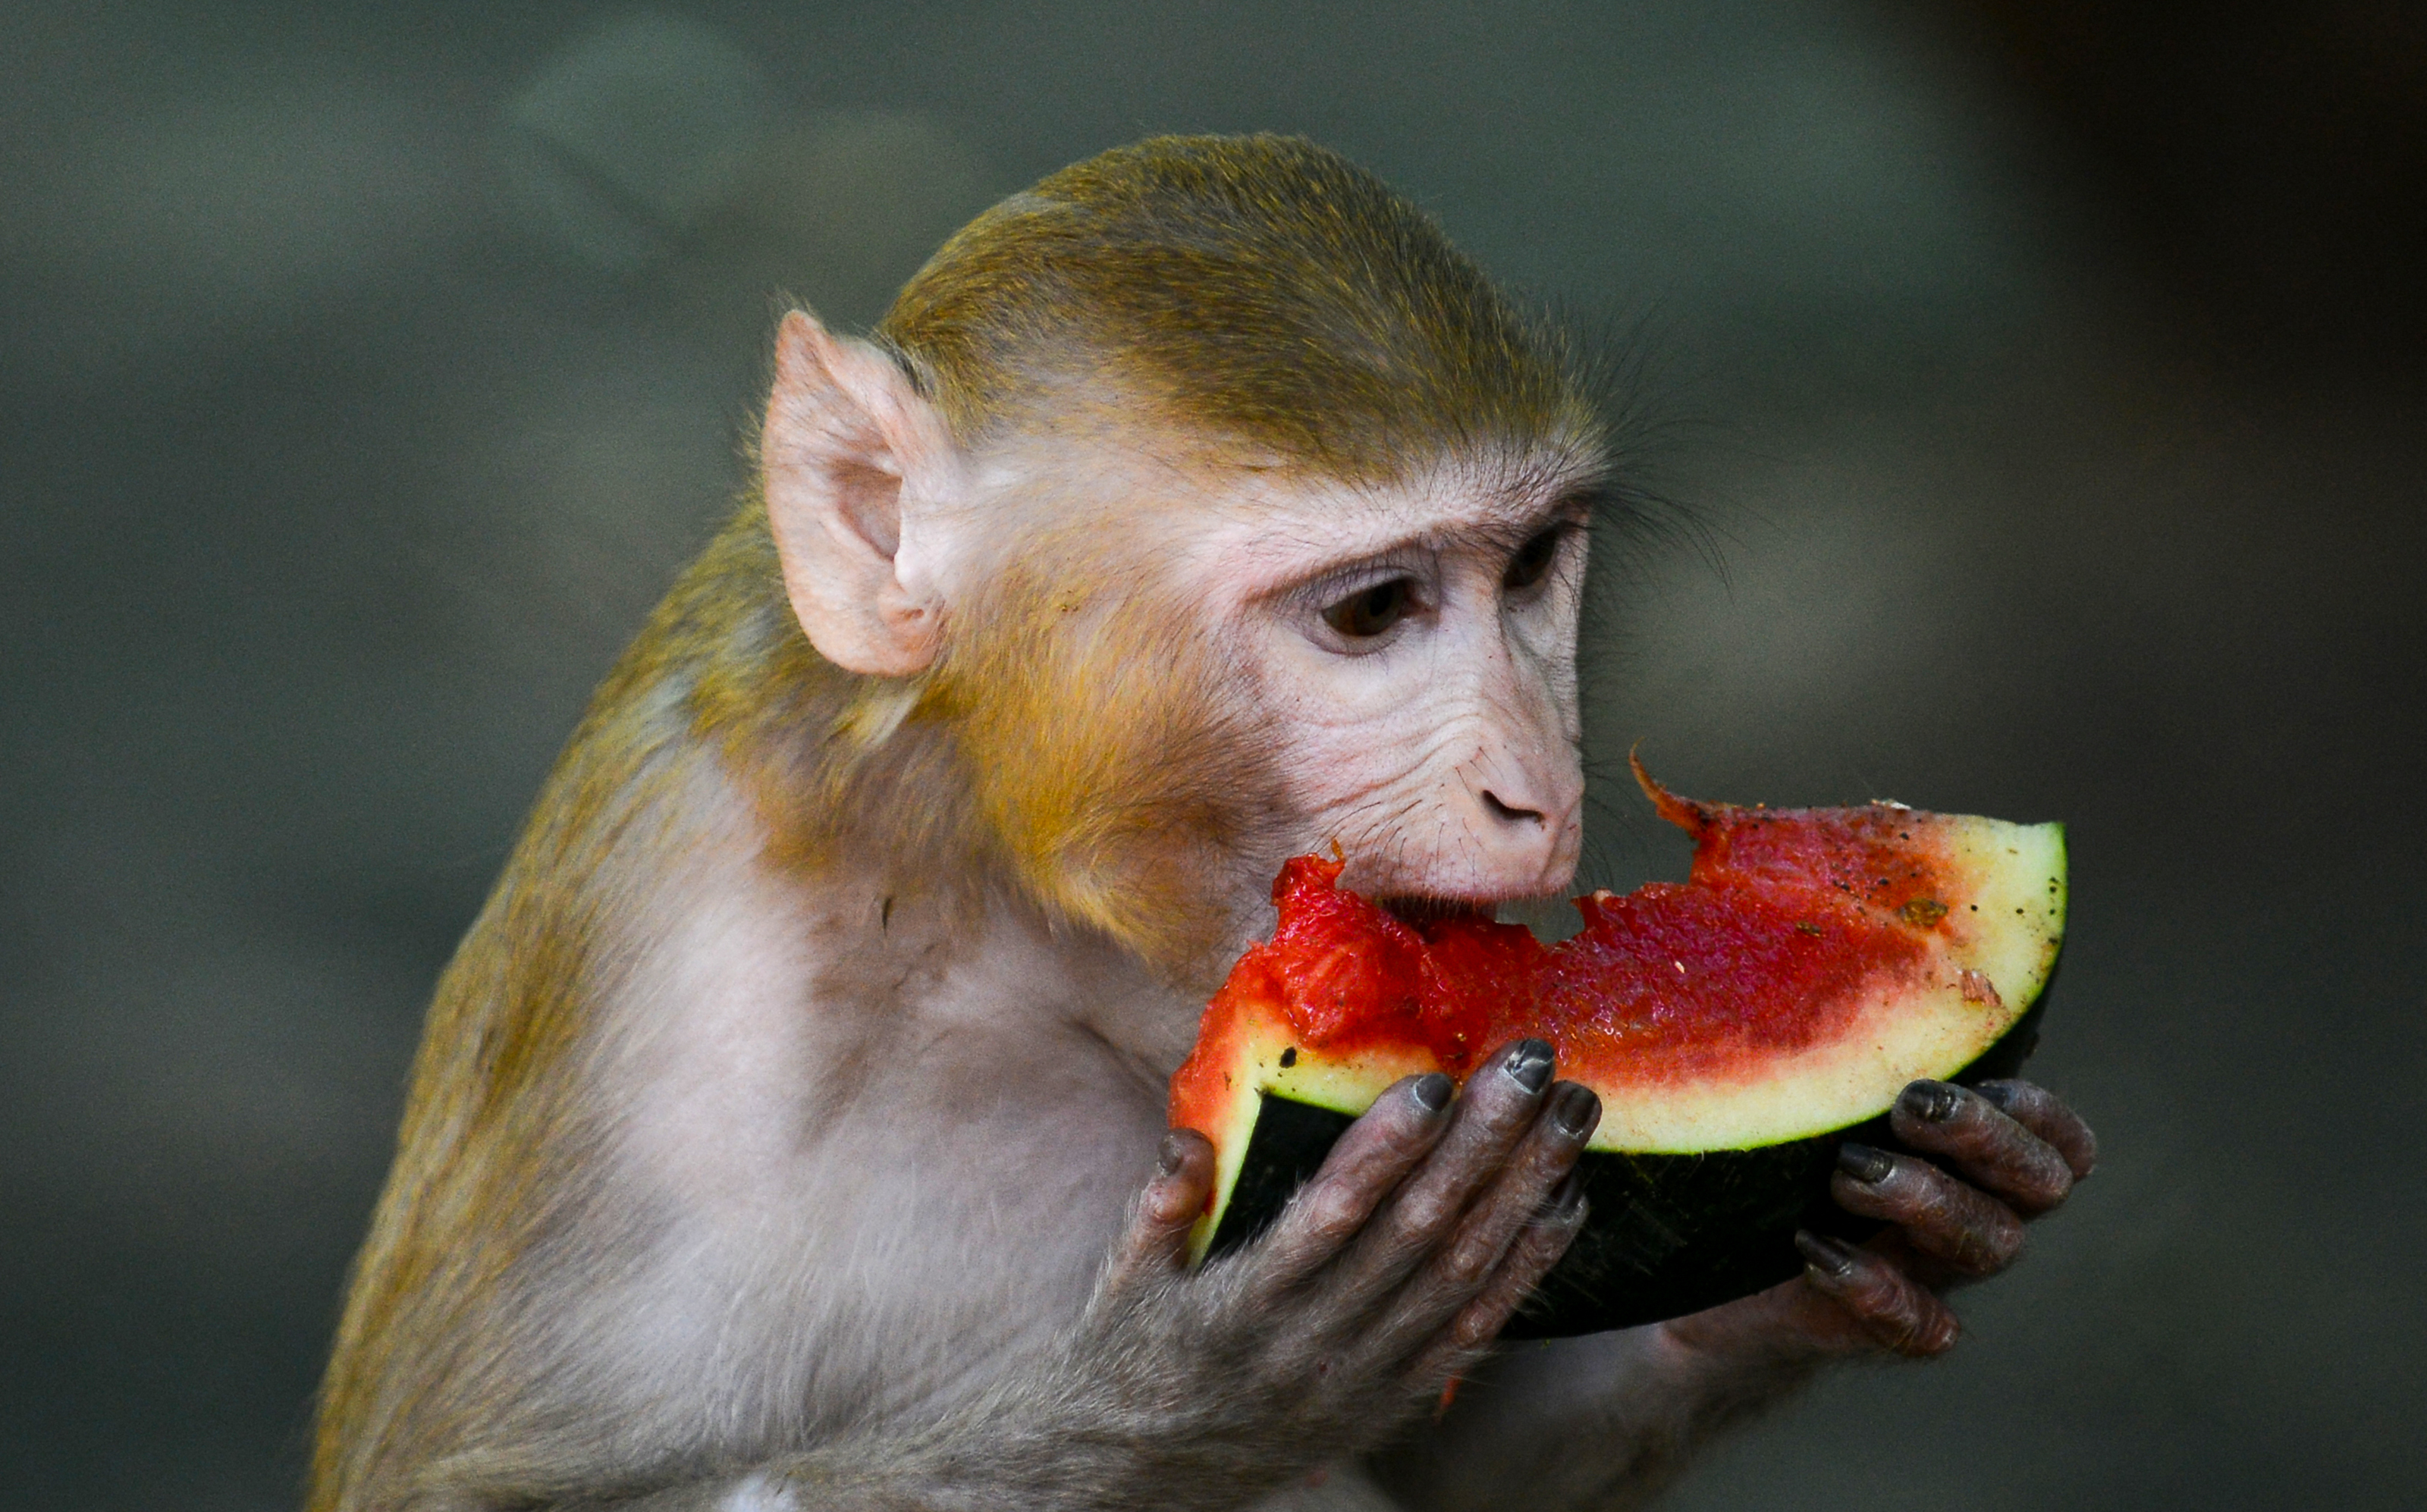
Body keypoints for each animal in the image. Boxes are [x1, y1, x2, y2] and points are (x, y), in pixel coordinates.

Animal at [310, 136, 2098, 1512]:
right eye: (1374, 611)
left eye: (1531, 569)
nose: (1539, 780)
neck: (976, 893)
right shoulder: (675, 997)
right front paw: (1177, 1391)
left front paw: (1923, 1209)